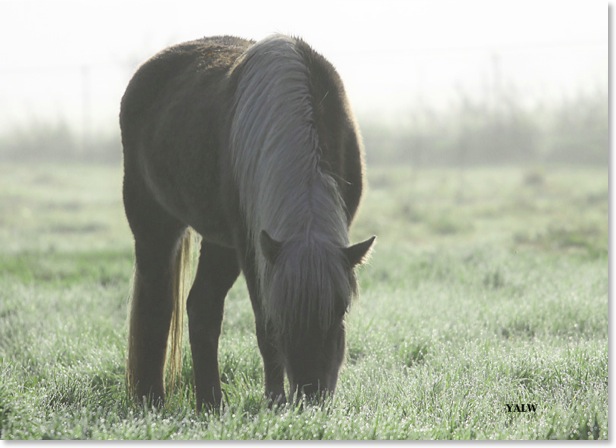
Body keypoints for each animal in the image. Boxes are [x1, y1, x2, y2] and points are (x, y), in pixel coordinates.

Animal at [118, 33, 372, 412]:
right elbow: (265, 331)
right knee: (157, 305)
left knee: (201, 307)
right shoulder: (253, 247)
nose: (311, 397)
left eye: (340, 309)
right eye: (284, 314)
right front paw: (275, 402)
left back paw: (210, 403)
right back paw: (152, 400)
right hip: (154, 224)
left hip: (220, 244)